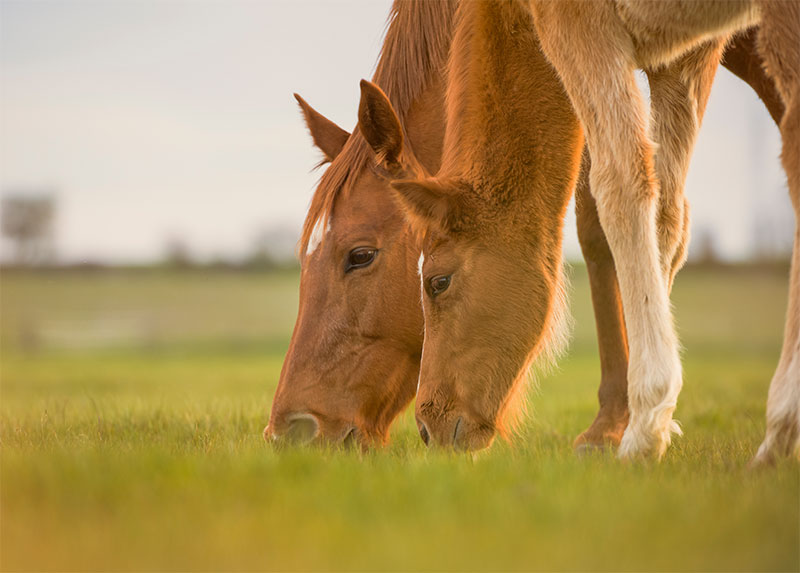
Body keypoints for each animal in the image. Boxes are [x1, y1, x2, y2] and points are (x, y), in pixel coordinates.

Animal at [268, 0, 788, 452]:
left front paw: (636, 423)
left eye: (360, 255)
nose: (288, 430)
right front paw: (614, 423)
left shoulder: (671, 50)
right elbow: (601, 225)